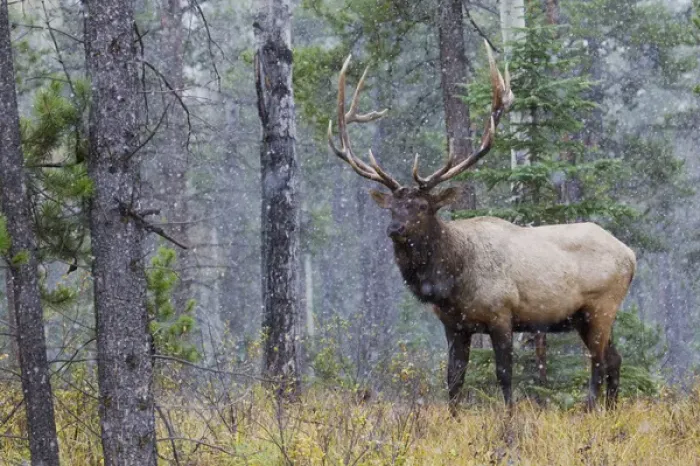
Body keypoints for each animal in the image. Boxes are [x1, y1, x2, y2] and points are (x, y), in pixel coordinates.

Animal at [327, 42, 637, 414]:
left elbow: (504, 375)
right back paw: (611, 412)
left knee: (598, 362)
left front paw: (510, 417)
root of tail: (631, 255)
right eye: (392, 208)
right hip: (588, 316)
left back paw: (591, 409)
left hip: (601, 306)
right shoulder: (454, 325)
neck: (452, 280)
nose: (395, 229)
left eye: (423, 207)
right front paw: (453, 418)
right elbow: (454, 379)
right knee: (615, 359)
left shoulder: (502, 314)